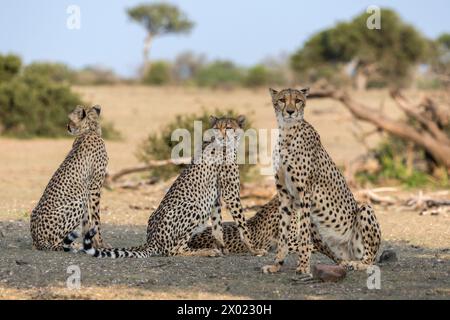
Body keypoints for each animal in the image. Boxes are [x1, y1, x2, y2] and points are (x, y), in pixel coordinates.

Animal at [29, 105, 108, 250]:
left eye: (71, 120)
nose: (67, 126)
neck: (89, 130)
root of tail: (37, 240)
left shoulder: (89, 188)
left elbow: (88, 220)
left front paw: (92, 243)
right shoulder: (95, 186)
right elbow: (95, 218)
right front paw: (100, 244)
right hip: (78, 201)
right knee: (56, 243)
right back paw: (74, 246)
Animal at [83, 115, 268, 258]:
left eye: (228, 128)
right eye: (216, 128)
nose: (221, 136)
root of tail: (152, 241)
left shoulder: (215, 197)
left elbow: (217, 226)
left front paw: (223, 247)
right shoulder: (230, 194)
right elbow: (242, 224)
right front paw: (254, 249)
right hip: (195, 207)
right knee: (173, 250)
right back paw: (205, 251)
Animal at [262, 88, 382, 278]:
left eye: (298, 100)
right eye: (282, 100)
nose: (290, 111)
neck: (287, 133)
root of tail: (348, 253)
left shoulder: (305, 192)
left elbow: (303, 236)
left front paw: (303, 268)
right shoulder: (284, 195)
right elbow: (283, 234)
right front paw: (276, 265)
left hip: (364, 210)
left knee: (370, 259)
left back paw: (358, 264)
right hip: (320, 232)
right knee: (338, 257)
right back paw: (345, 263)